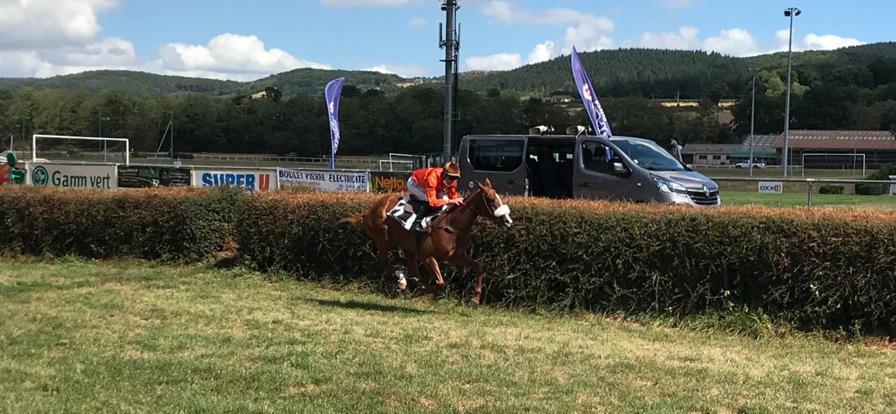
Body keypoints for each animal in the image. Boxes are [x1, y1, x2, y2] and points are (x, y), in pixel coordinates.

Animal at [342, 180, 516, 306]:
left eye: (499, 198)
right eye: (491, 199)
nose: (508, 221)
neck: (452, 225)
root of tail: (368, 211)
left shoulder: (456, 256)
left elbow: (479, 268)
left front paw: (475, 299)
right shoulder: (427, 257)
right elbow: (440, 283)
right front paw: (428, 291)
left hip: (407, 248)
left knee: (411, 270)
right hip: (383, 237)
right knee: (383, 262)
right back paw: (402, 280)